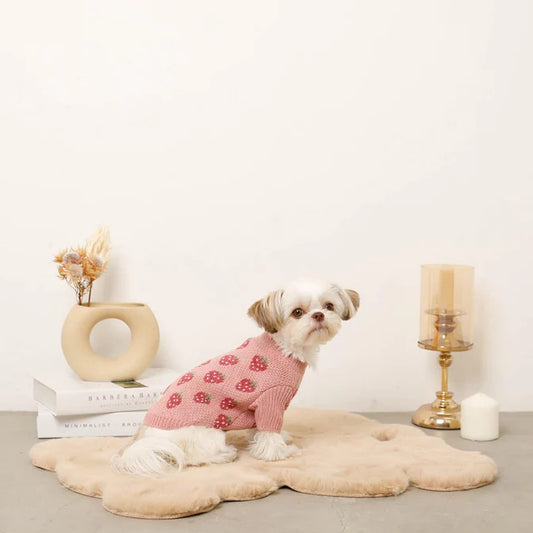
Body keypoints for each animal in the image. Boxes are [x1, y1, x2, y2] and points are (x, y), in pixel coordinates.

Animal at [112, 280, 359, 475]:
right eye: (297, 312)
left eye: (329, 306)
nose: (319, 315)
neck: (284, 349)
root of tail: (143, 439)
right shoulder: (271, 400)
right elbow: (269, 432)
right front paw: (278, 452)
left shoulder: (261, 408)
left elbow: (262, 429)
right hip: (208, 433)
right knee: (192, 458)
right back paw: (224, 455)